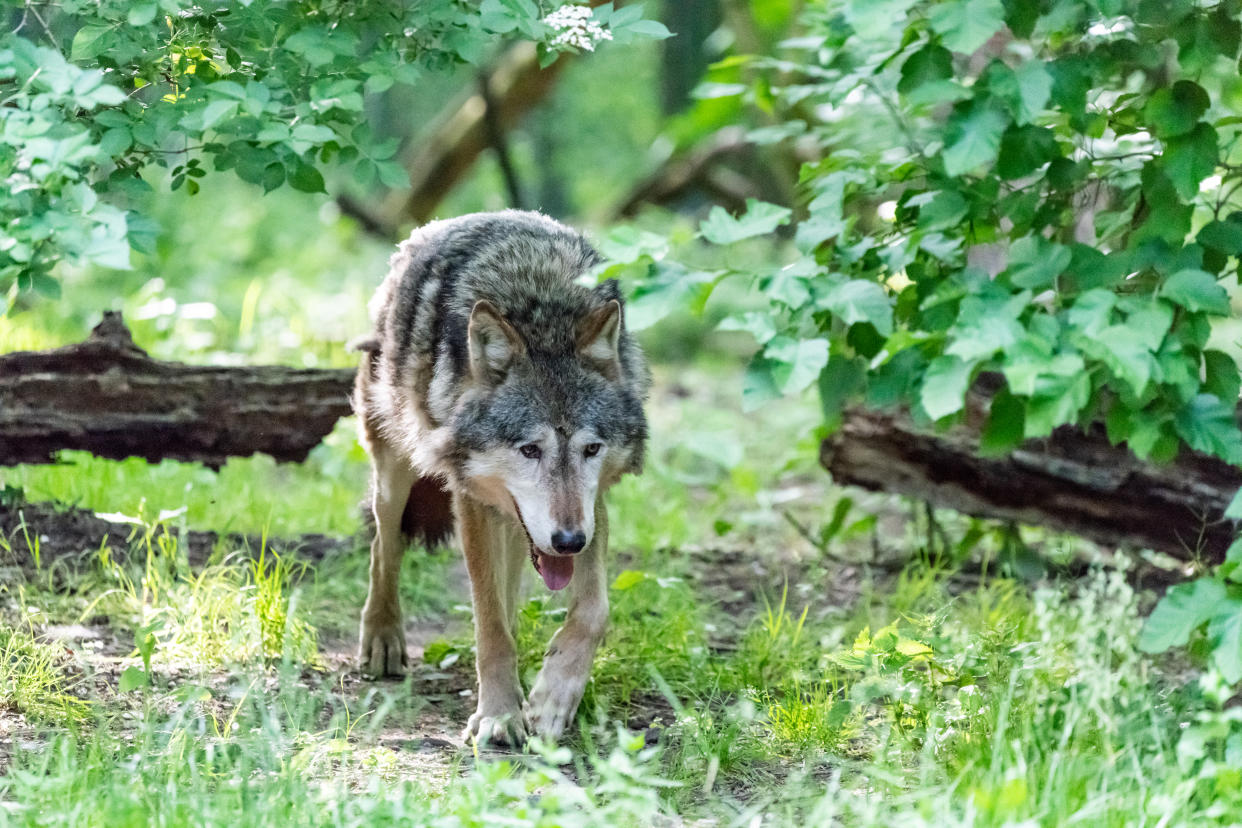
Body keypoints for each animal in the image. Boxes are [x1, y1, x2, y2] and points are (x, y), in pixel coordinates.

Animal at [350, 211, 650, 749]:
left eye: (591, 449)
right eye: (529, 449)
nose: (568, 542)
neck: (543, 312)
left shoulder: (592, 507)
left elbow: (592, 612)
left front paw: (551, 699)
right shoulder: (468, 496)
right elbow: (489, 626)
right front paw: (499, 715)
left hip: (519, 523)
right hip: (394, 470)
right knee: (385, 544)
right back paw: (382, 640)